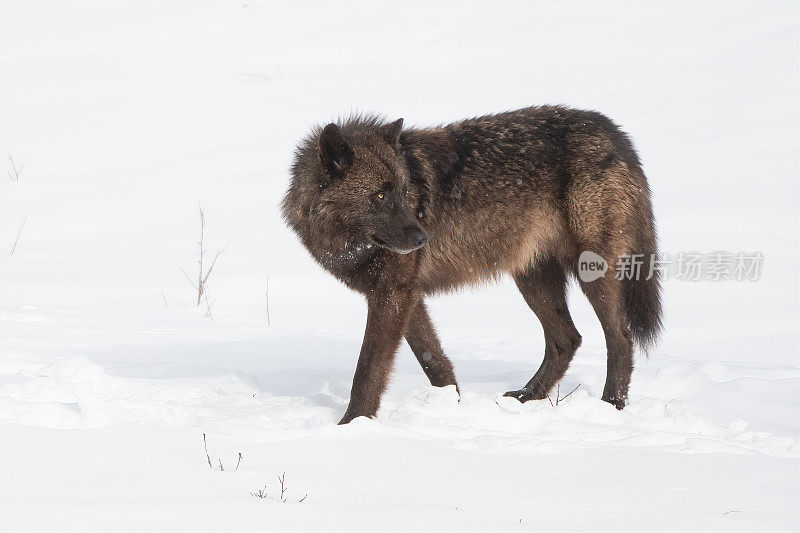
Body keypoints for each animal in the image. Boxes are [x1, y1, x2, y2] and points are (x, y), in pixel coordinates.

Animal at [282, 106, 664, 424]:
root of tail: (613, 131)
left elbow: (368, 368)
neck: (345, 241)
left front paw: (351, 425)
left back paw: (611, 405)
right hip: (532, 277)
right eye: (379, 196)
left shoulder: (392, 294)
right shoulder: (405, 295)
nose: (422, 239)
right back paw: (526, 398)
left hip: (590, 272)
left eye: (404, 193)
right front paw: (453, 405)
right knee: (567, 339)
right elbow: (433, 360)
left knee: (621, 337)